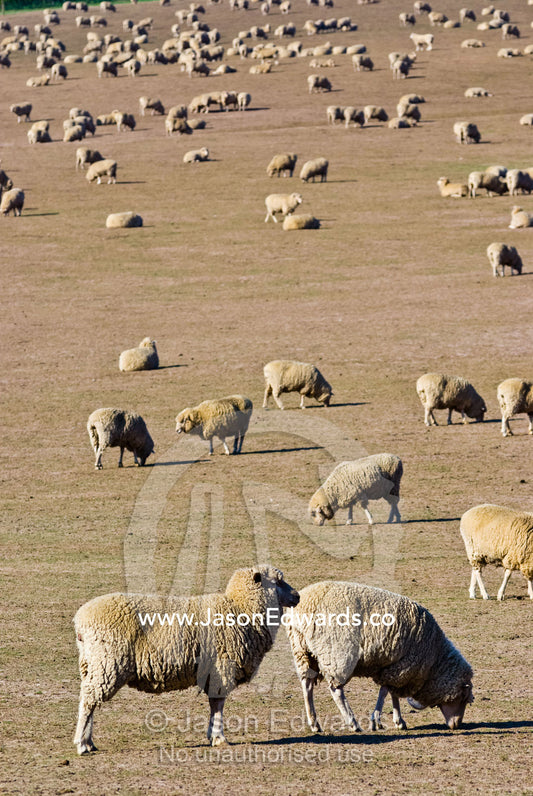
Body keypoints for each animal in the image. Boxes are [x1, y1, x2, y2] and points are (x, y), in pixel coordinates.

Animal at [74, 565, 299, 754]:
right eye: (278, 581)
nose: (297, 596)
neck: (241, 609)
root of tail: (80, 621)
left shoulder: (213, 672)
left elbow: (214, 705)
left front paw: (212, 735)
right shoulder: (222, 667)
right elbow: (218, 705)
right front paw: (219, 738)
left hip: (91, 663)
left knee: (89, 699)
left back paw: (89, 742)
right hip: (107, 663)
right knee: (89, 701)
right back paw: (82, 744)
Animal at [286, 581, 474, 735]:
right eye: (464, 698)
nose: (457, 725)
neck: (434, 660)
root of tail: (303, 606)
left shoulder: (397, 668)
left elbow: (392, 693)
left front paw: (398, 721)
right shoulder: (401, 667)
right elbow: (385, 692)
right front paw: (376, 720)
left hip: (302, 652)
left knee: (307, 686)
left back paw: (314, 723)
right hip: (335, 653)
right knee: (336, 690)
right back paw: (352, 722)